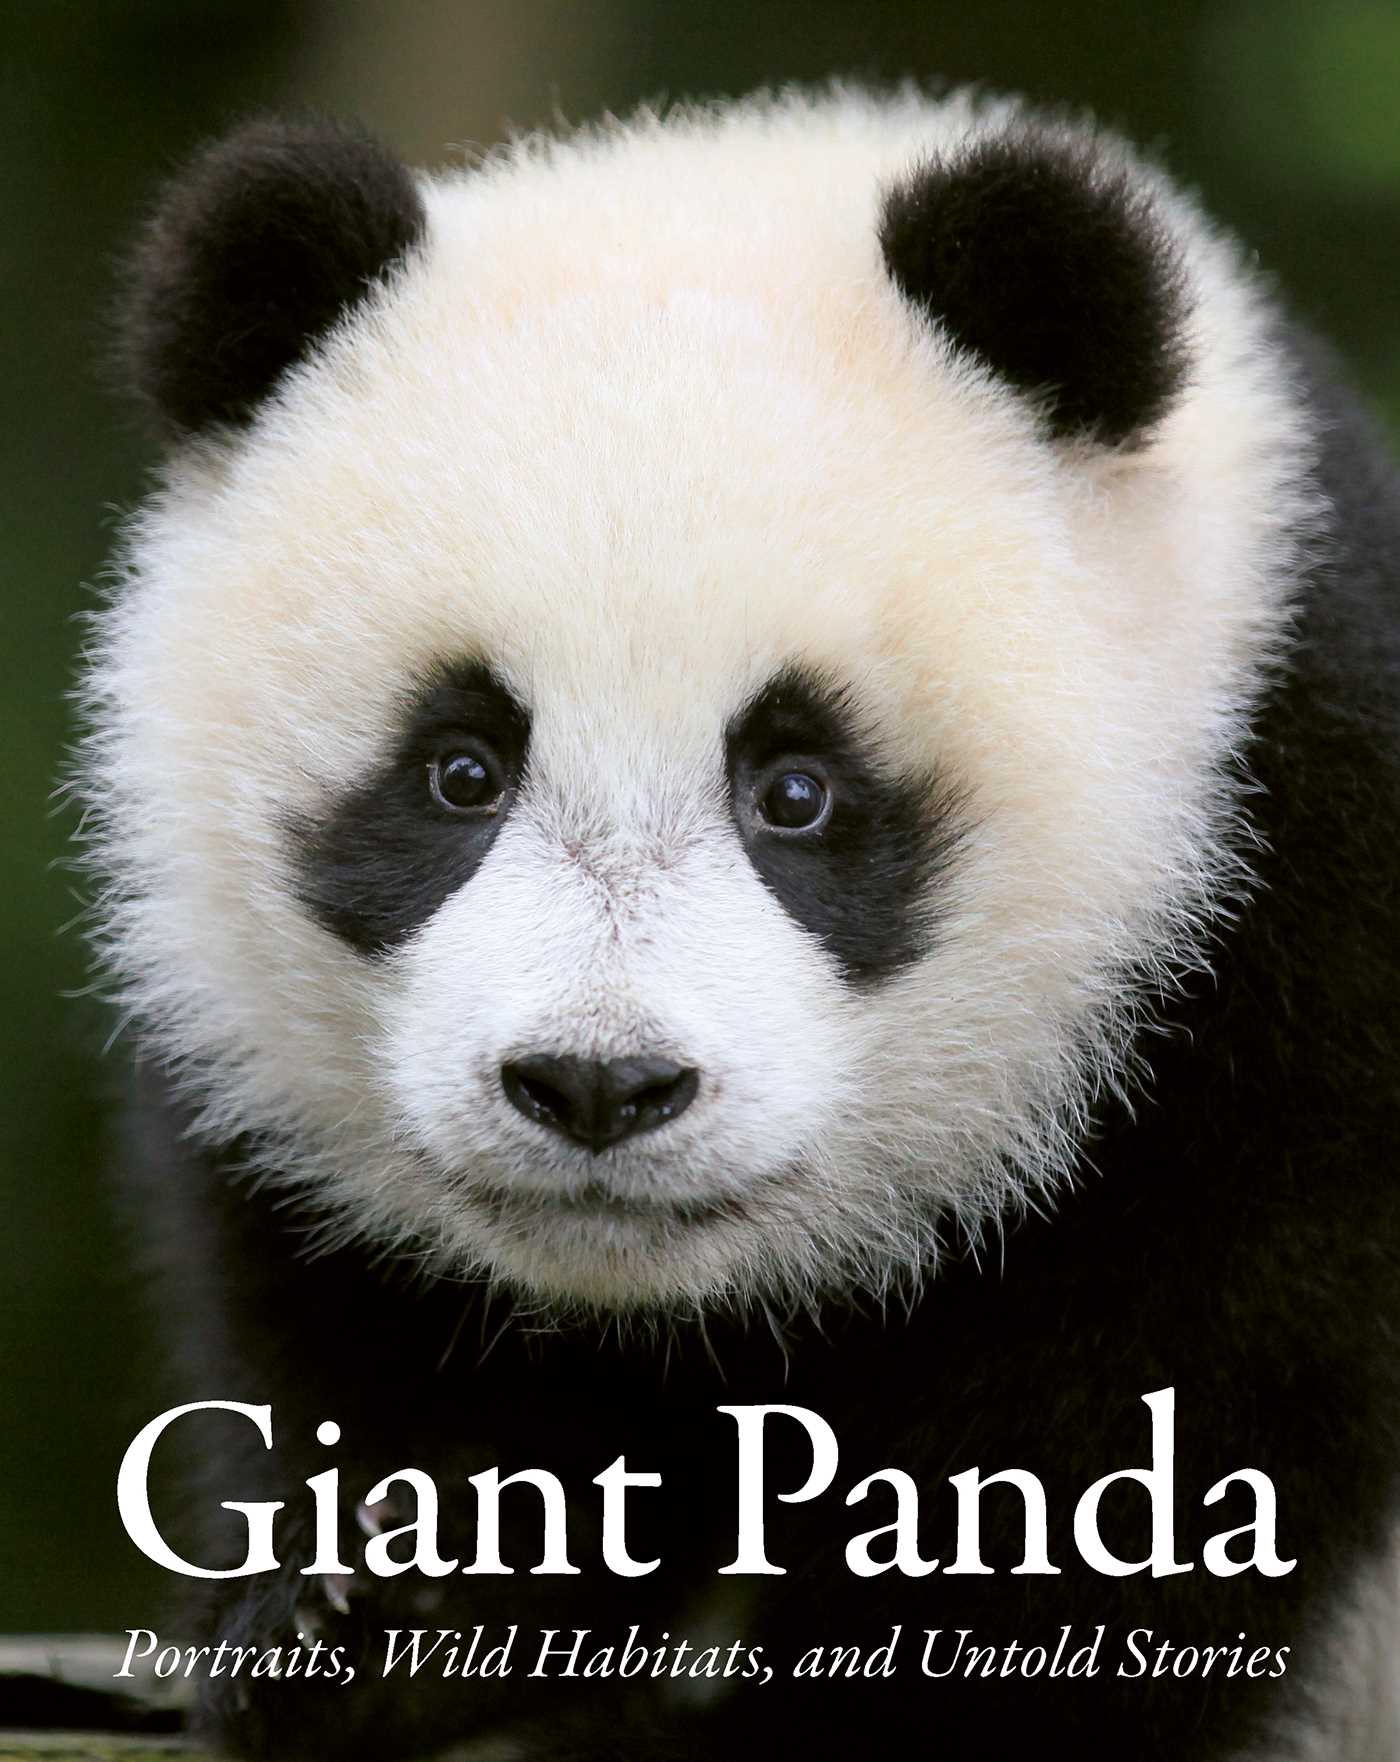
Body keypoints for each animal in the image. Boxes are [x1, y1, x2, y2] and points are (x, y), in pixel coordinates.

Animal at [77, 86, 1400, 1762]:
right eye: (460, 770)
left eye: (797, 789)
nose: (597, 1086)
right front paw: (374, 1611)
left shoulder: (1294, 881)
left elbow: (1181, 1412)